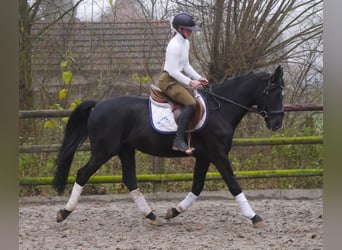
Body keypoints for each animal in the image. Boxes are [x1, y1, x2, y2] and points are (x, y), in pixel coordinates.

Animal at [52, 65, 284, 228]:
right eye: (273, 92)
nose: (277, 123)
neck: (220, 110)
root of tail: (98, 105)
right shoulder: (218, 154)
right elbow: (233, 185)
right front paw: (254, 217)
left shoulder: (204, 156)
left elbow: (197, 187)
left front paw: (173, 211)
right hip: (103, 150)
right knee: (83, 174)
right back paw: (63, 213)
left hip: (125, 150)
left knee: (130, 180)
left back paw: (152, 216)